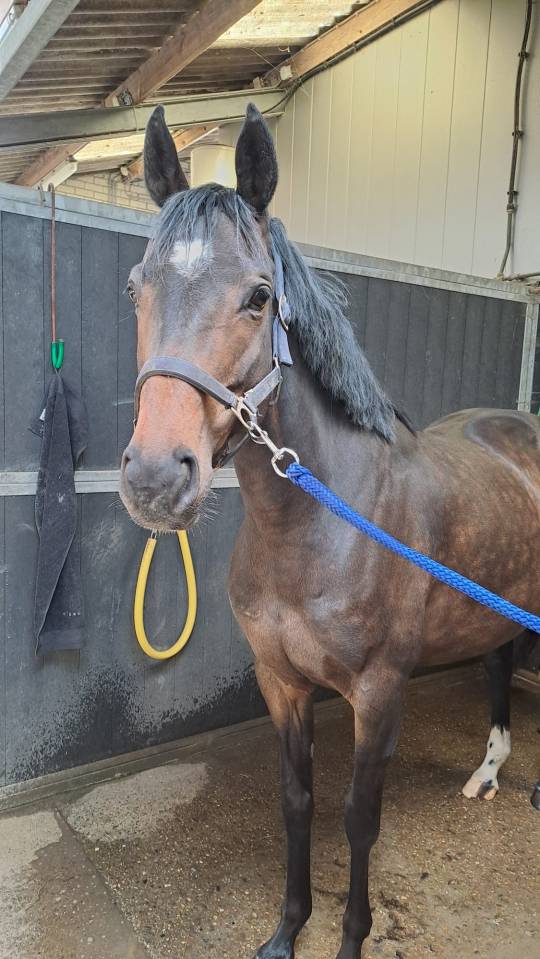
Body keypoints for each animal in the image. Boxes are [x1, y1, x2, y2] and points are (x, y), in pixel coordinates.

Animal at [120, 103, 540, 959]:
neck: (318, 525)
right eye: (136, 286)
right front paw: (286, 929)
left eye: (257, 296)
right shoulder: (282, 682)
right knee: (496, 664)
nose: (155, 476)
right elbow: (298, 802)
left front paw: (349, 937)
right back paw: (486, 774)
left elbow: (357, 818)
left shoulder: (378, 694)